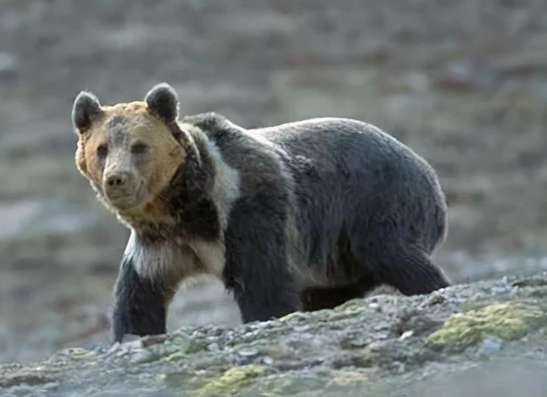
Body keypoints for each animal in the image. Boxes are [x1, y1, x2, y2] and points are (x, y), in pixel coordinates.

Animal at [73, 83, 450, 340]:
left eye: (140, 146)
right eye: (102, 148)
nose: (117, 179)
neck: (189, 210)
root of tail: (429, 173)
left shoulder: (248, 210)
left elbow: (264, 285)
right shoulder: (159, 245)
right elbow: (138, 297)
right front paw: (132, 333)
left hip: (375, 205)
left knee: (395, 254)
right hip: (334, 260)